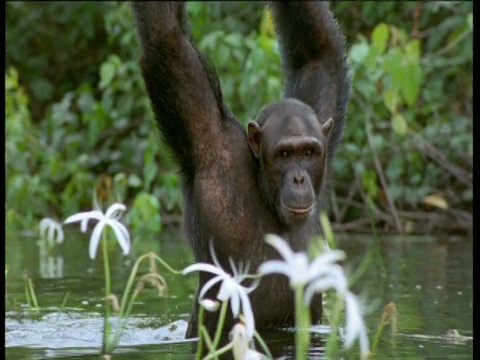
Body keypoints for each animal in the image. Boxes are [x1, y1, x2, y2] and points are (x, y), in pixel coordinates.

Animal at [131, 1, 348, 338]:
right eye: (284, 155)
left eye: (309, 152)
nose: (299, 178)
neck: (264, 187)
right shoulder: (209, 139)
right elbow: (166, 37)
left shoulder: (323, 112)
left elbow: (316, 53)